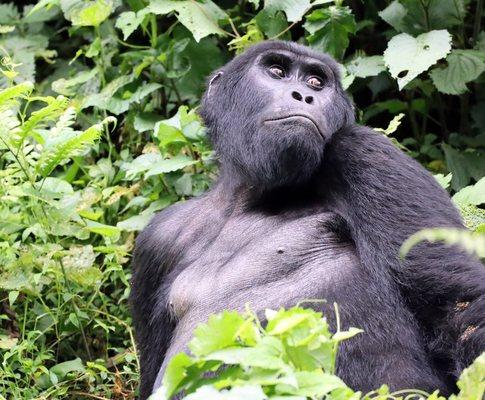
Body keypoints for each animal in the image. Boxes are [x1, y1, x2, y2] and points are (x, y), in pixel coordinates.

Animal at [130, 40, 484, 396]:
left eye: (316, 82)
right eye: (277, 71)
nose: (303, 95)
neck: (248, 198)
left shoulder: (363, 150)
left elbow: (458, 308)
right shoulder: (157, 238)